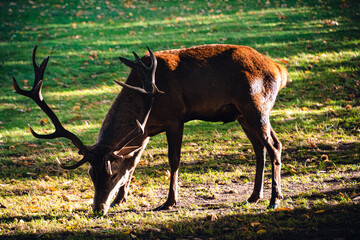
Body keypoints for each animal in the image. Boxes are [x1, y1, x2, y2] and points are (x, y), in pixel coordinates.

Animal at [13, 44, 286, 215]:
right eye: (90, 173)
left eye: (111, 173)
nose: (98, 209)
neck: (147, 98)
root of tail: (279, 70)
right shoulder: (143, 131)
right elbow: (133, 162)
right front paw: (121, 198)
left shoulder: (175, 118)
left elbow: (173, 160)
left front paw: (169, 201)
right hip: (241, 113)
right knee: (260, 147)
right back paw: (254, 196)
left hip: (256, 104)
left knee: (274, 145)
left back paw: (274, 200)